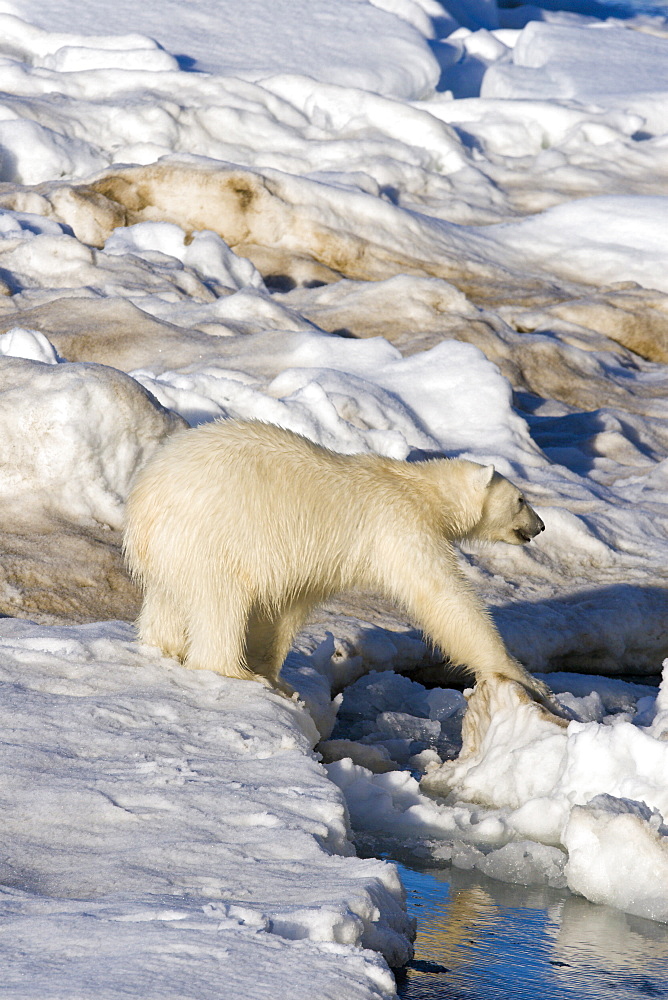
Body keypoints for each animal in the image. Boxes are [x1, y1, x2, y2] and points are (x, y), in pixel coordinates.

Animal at [122, 422, 552, 704]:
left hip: (170, 552)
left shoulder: (316, 563)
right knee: (220, 602)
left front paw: (275, 673)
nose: (541, 525)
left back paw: (164, 648)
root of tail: (143, 498)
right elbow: (443, 597)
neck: (416, 487)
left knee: (169, 599)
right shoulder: (398, 523)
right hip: (211, 537)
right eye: (521, 499)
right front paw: (527, 680)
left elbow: (286, 609)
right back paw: (235, 671)